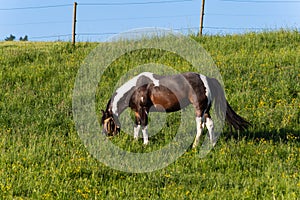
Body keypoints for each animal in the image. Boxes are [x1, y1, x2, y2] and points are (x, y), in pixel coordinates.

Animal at [102, 72, 250, 147]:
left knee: (200, 127)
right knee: (210, 124)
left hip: (199, 109)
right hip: (205, 110)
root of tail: (207, 79)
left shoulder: (143, 110)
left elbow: (143, 126)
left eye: (107, 123)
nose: (107, 136)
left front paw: (145, 144)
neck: (136, 89)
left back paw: (194, 146)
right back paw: (212, 144)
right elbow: (136, 126)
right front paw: (135, 141)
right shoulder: (137, 112)